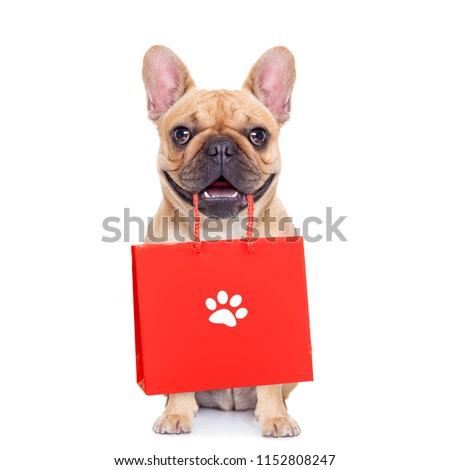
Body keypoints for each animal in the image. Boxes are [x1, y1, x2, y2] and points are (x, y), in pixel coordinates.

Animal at [142, 45, 300, 436]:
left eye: (258, 135)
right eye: (181, 133)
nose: (220, 147)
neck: (221, 231)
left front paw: (275, 417)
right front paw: (177, 413)